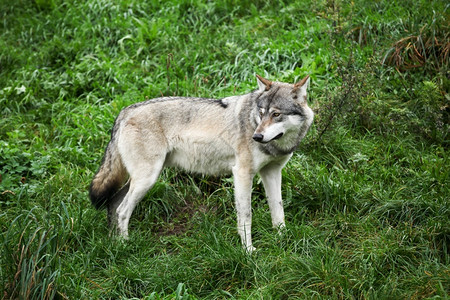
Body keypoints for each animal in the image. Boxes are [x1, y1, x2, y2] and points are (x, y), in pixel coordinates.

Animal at [88, 74, 312, 251]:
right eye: (261, 113)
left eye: (276, 114)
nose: (256, 137)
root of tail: (124, 111)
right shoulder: (242, 173)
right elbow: (246, 215)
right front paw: (248, 251)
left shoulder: (272, 172)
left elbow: (278, 209)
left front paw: (283, 240)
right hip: (147, 179)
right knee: (122, 210)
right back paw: (126, 245)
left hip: (140, 180)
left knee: (113, 205)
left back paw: (114, 244)